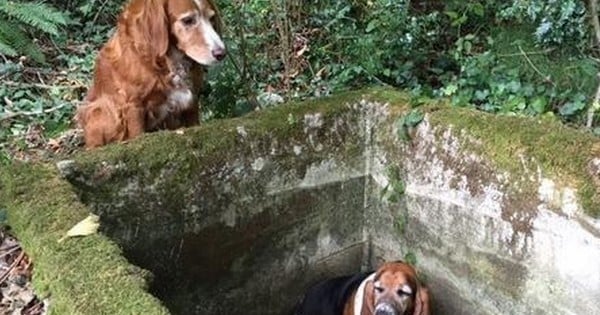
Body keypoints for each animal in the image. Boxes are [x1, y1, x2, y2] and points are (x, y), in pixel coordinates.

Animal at [75, 0, 225, 149]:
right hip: (100, 110)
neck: (166, 61)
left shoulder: (192, 99)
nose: (222, 53)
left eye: (212, 18)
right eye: (188, 20)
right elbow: (138, 135)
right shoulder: (133, 106)